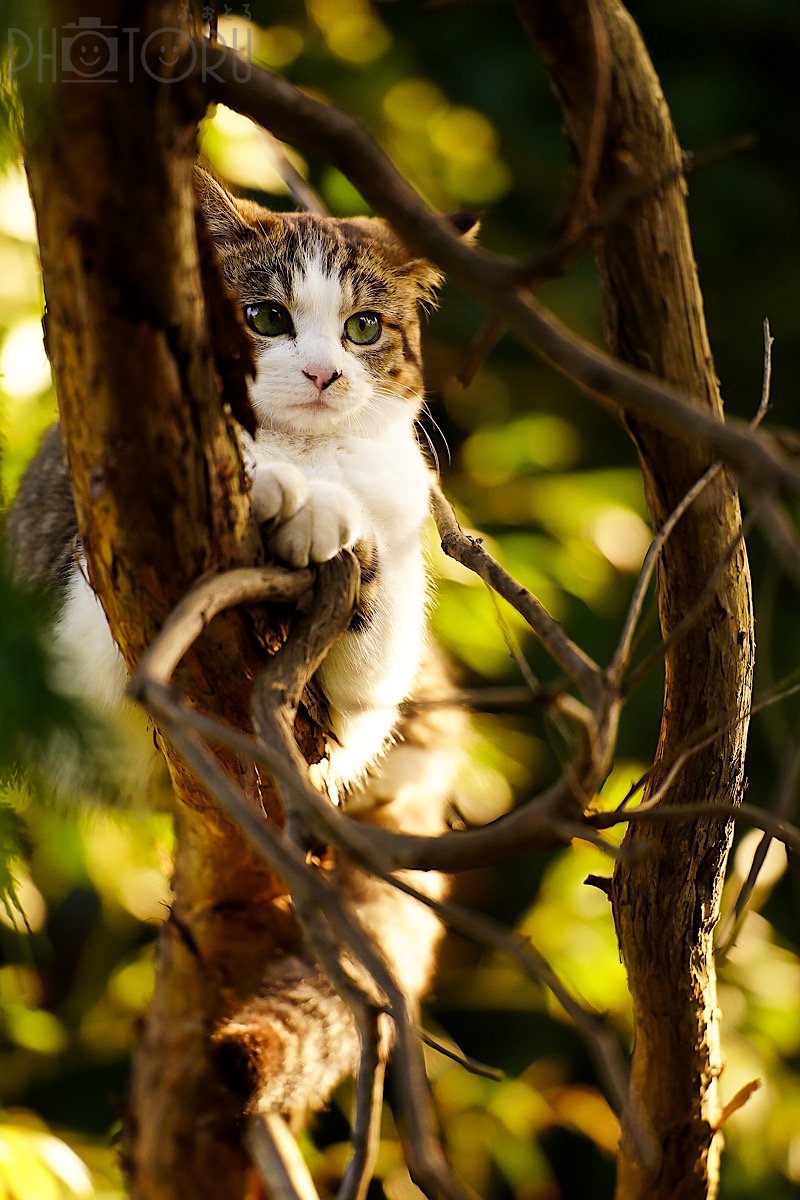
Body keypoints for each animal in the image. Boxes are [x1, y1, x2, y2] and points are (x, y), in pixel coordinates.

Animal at [6, 166, 472, 1113]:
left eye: (364, 327)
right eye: (265, 317)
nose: (324, 371)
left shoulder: (370, 686)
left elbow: (371, 657)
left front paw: (332, 531)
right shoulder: (72, 650)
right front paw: (277, 490)